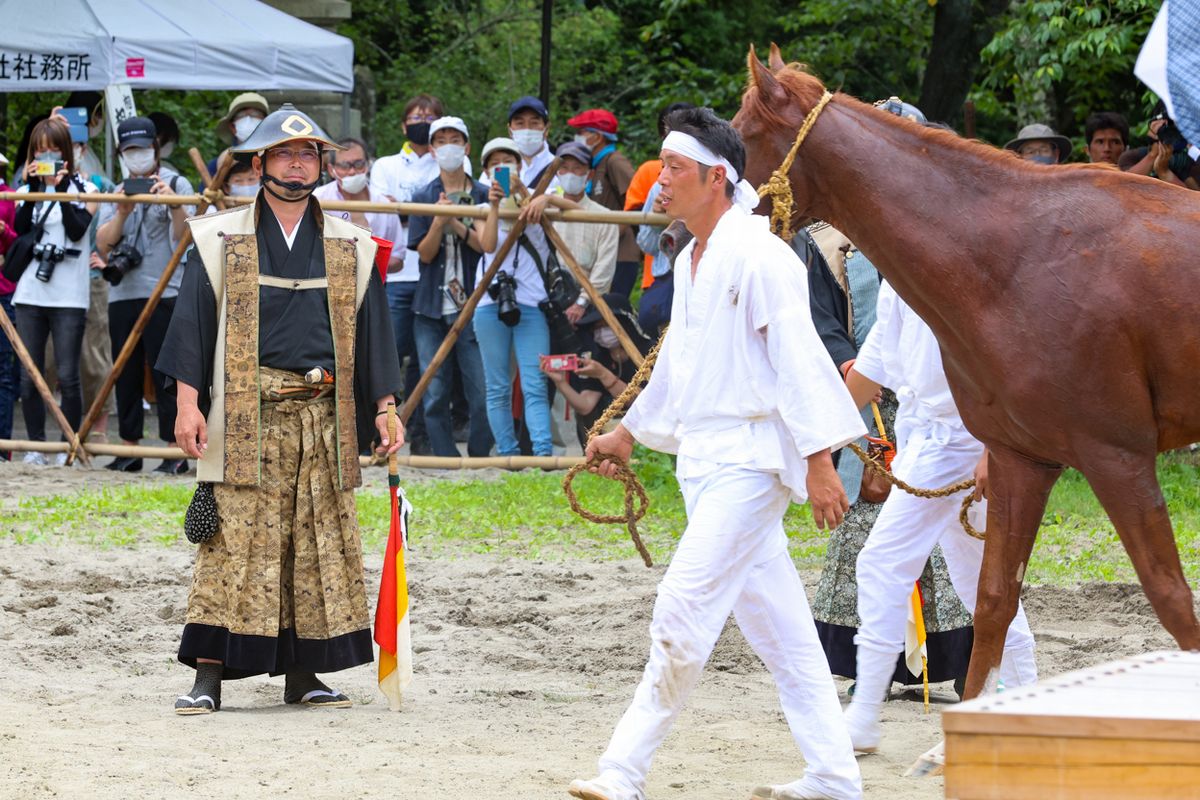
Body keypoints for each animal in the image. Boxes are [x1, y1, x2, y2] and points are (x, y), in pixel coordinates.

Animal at [729, 47, 1200, 705]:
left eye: (741, 136)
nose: (673, 228)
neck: (1014, 258)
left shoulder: (1118, 456)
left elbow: (1172, 599)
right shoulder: (1022, 458)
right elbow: (996, 602)